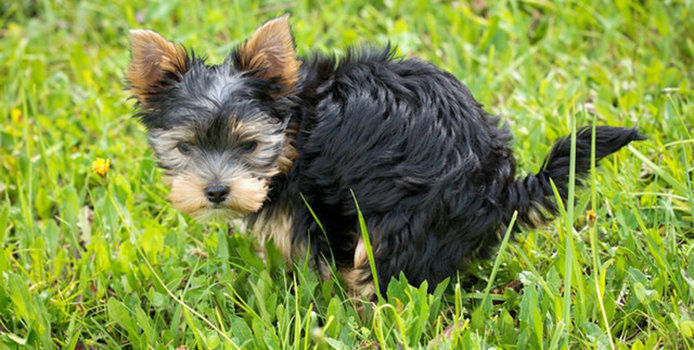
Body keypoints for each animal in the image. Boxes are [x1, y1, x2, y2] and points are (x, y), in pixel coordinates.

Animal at [126, 15, 648, 300]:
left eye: (249, 145)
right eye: (185, 147)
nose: (216, 191)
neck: (296, 127)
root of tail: (502, 187)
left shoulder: (318, 204)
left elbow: (322, 256)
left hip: (408, 218)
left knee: (384, 268)